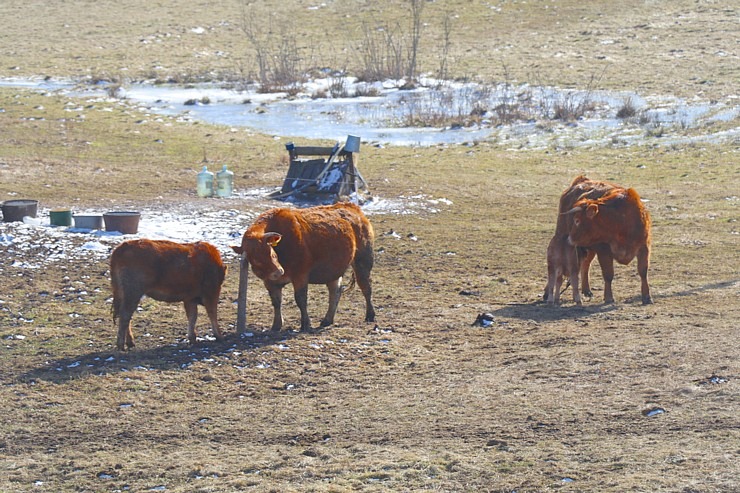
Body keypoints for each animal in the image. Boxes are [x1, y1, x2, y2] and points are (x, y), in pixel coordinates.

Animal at [233, 202, 376, 332]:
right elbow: (276, 301)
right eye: (255, 259)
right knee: (335, 292)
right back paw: (327, 320)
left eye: (271, 252)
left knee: (366, 288)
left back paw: (370, 315)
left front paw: (305, 324)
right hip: (334, 270)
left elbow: (301, 299)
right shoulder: (269, 282)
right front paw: (276, 325)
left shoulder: (300, 275)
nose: (278, 272)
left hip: (363, 261)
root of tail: (352, 207)